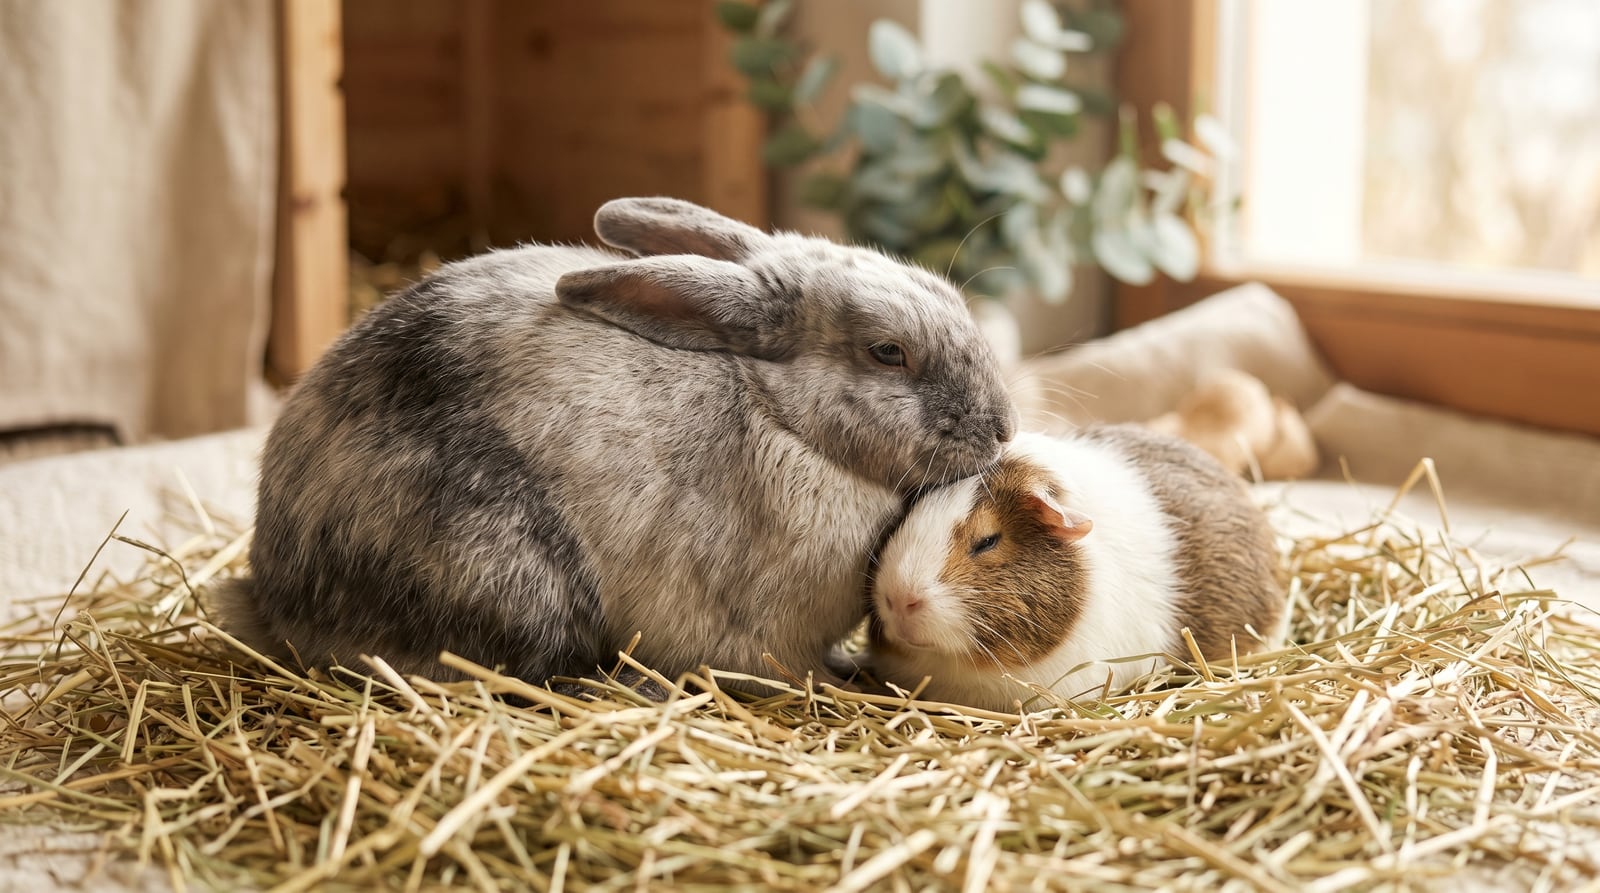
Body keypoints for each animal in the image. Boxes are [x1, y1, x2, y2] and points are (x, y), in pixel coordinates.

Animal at [218, 197, 1016, 692]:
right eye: (888, 353)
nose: (1002, 427)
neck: (782, 418)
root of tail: (276, 596)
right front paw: (842, 679)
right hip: (509, 574)